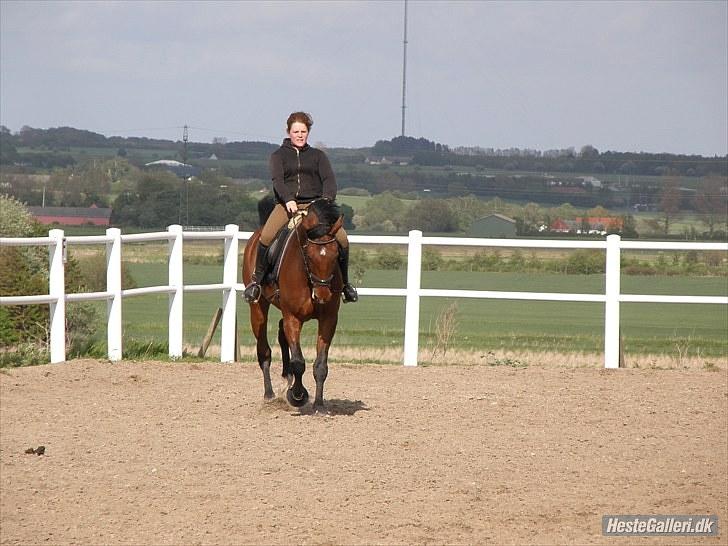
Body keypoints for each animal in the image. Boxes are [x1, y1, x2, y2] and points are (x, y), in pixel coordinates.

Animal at [242, 198, 344, 410]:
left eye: (336, 254)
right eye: (309, 255)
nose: (322, 295)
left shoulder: (328, 319)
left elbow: (320, 365)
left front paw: (319, 405)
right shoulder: (293, 318)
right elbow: (298, 362)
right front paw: (297, 396)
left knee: (281, 332)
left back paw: (285, 379)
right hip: (258, 308)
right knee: (264, 350)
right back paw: (270, 394)